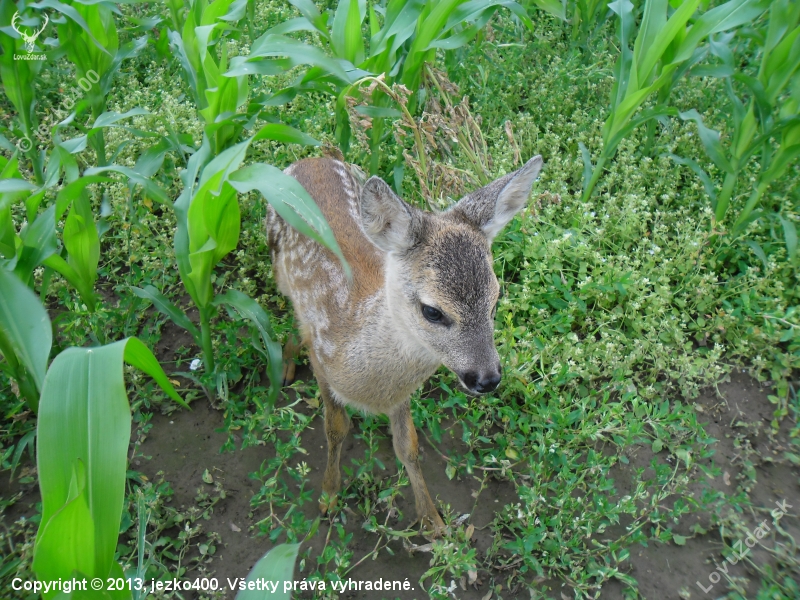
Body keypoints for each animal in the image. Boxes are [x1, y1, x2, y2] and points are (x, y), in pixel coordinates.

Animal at [266, 154, 543, 535]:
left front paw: (433, 521)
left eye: (496, 300)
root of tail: (312, 158)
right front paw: (328, 496)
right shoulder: (323, 364)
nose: (487, 379)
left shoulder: (399, 394)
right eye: (432, 311)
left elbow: (408, 445)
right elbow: (336, 429)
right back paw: (288, 363)